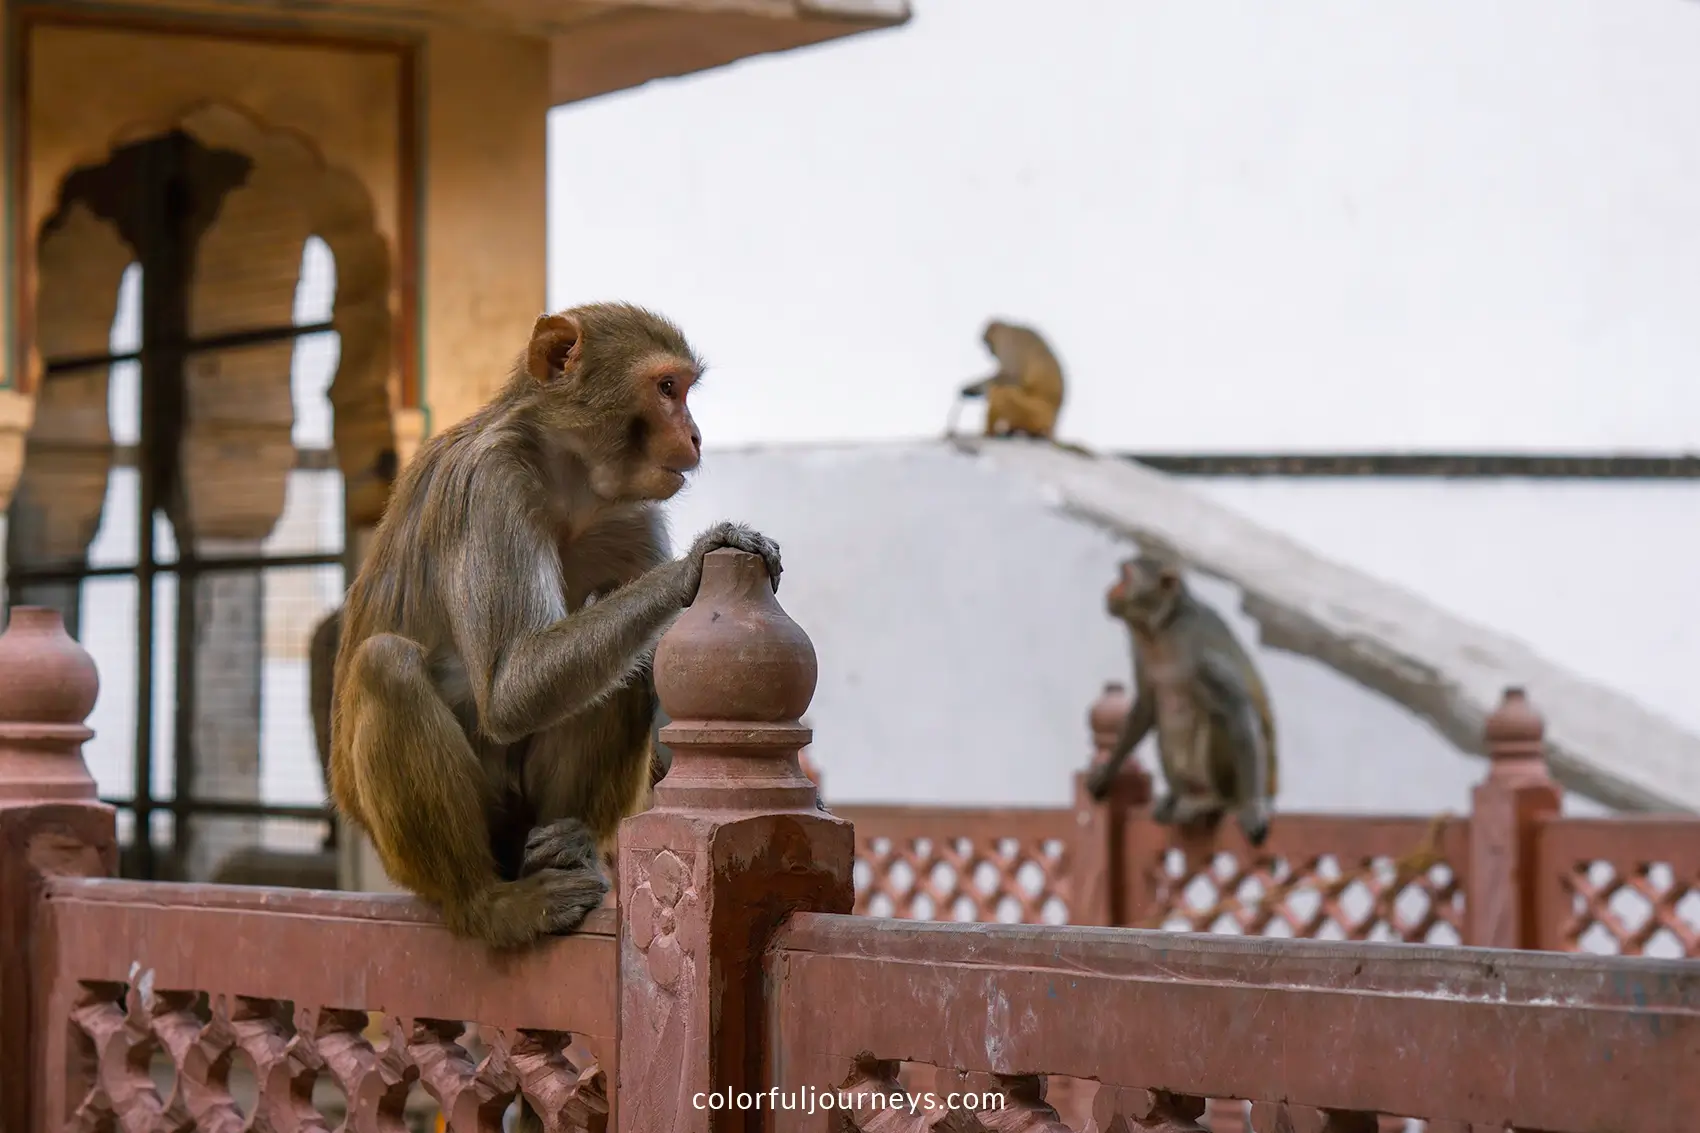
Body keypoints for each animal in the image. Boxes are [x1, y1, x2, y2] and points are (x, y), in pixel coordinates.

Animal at [327, 302, 783, 951]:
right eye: (667, 389)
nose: (695, 435)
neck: (570, 481)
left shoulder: (631, 516)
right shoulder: (491, 486)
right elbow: (510, 688)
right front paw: (695, 563)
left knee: (628, 664)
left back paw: (574, 845)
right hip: (416, 849)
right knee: (385, 665)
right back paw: (487, 903)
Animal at [1084, 554, 1278, 847]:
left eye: (1125, 576)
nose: (1111, 589)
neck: (1163, 628)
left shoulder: (1200, 652)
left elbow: (1237, 709)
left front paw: (1252, 808)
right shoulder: (1140, 645)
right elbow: (1146, 706)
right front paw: (1107, 772)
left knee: (1219, 718)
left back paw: (1215, 802)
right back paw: (1179, 798)